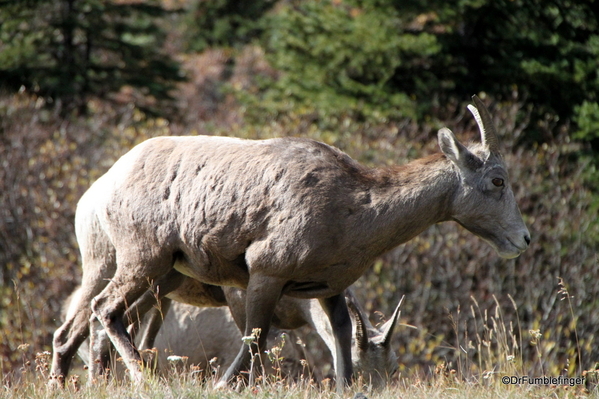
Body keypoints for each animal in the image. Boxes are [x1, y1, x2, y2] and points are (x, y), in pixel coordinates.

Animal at [50, 96, 528, 390]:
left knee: (88, 325)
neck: (357, 205)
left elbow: (340, 348)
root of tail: (108, 182)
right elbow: (254, 344)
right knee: (103, 312)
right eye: (497, 180)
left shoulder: (328, 291)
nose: (522, 239)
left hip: (160, 278)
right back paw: (147, 382)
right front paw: (223, 386)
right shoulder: (264, 275)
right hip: (138, 262)